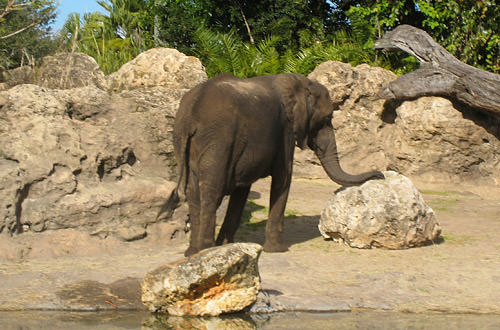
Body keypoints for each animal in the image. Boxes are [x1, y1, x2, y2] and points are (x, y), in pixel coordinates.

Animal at [163, 73, 382, 256]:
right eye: (327, 118)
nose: (380, 174)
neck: (301, 83)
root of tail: (190, 114)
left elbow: (242, 190)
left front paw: (228, 246)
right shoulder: (285, 131)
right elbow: (283, 179)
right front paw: (278, 250)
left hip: (183, 141)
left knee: (193, 194)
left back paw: (193, 253)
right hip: (218, 140)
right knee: (211, 193)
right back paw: (206, 251)